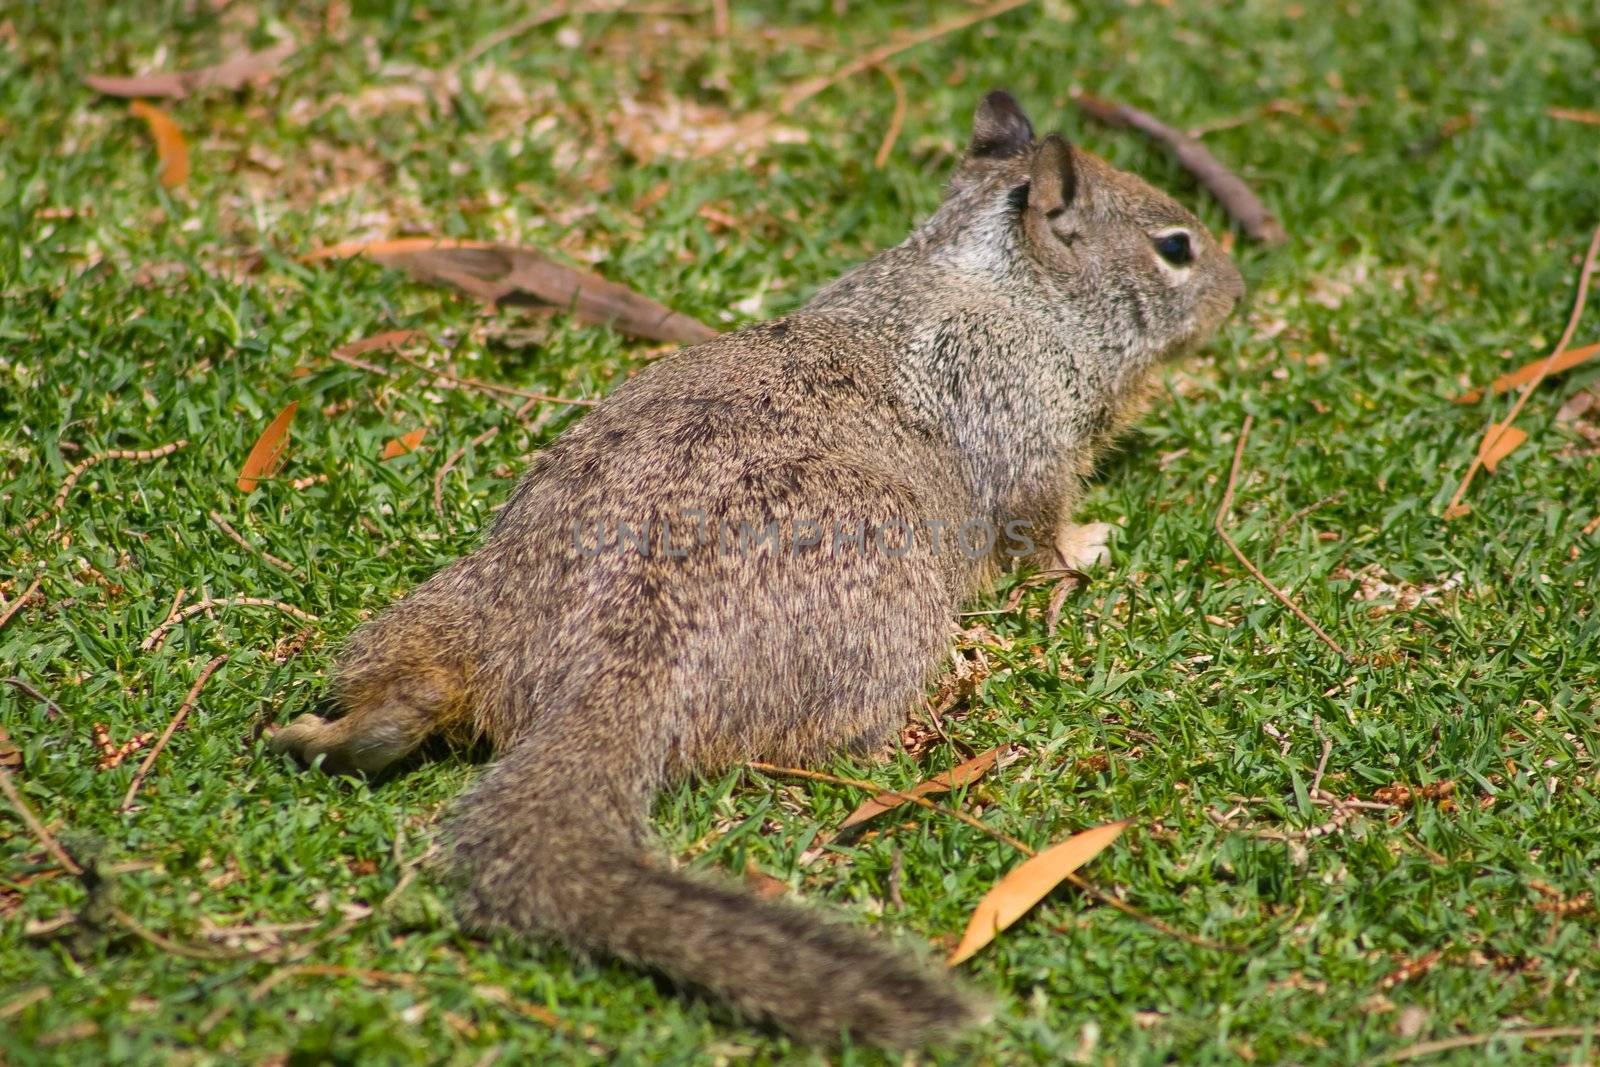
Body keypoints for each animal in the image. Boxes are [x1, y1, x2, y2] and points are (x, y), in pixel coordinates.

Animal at [275, 89, 1241, 1043]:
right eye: (1176, 246)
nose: (1238, 288)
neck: (1002, 285)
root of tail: (616, 666)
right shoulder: (1029, 446)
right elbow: (1041, 535)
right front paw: (1091, 545)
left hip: (451, 610)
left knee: (411, 690)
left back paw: (333, 736)